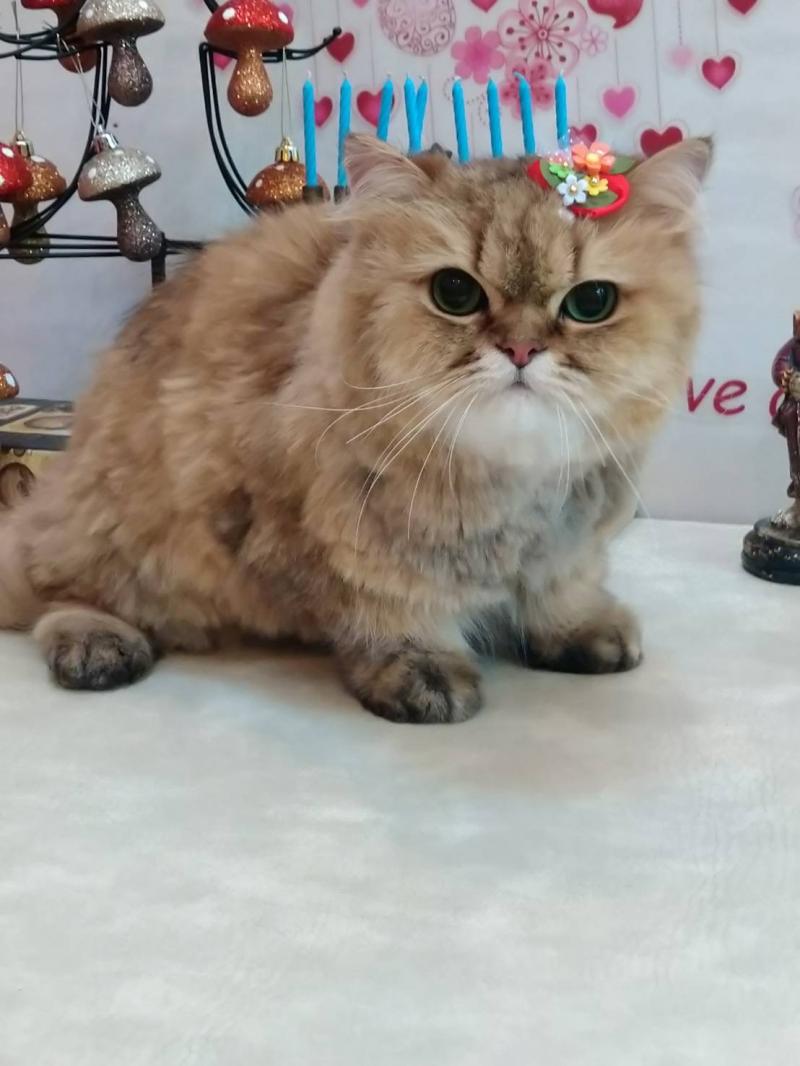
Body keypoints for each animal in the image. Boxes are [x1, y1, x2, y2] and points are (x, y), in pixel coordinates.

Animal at [0, 134, 711, 723]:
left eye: (591, 303)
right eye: (456, 293)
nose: (521, 350)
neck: (510, 481)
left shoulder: (569, 548)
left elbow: (562, 592)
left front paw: (576, 630)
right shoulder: (352, 547)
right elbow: (395, 616)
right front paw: (425, 672)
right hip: (118, 534)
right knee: (50, 592)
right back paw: (98, 644)